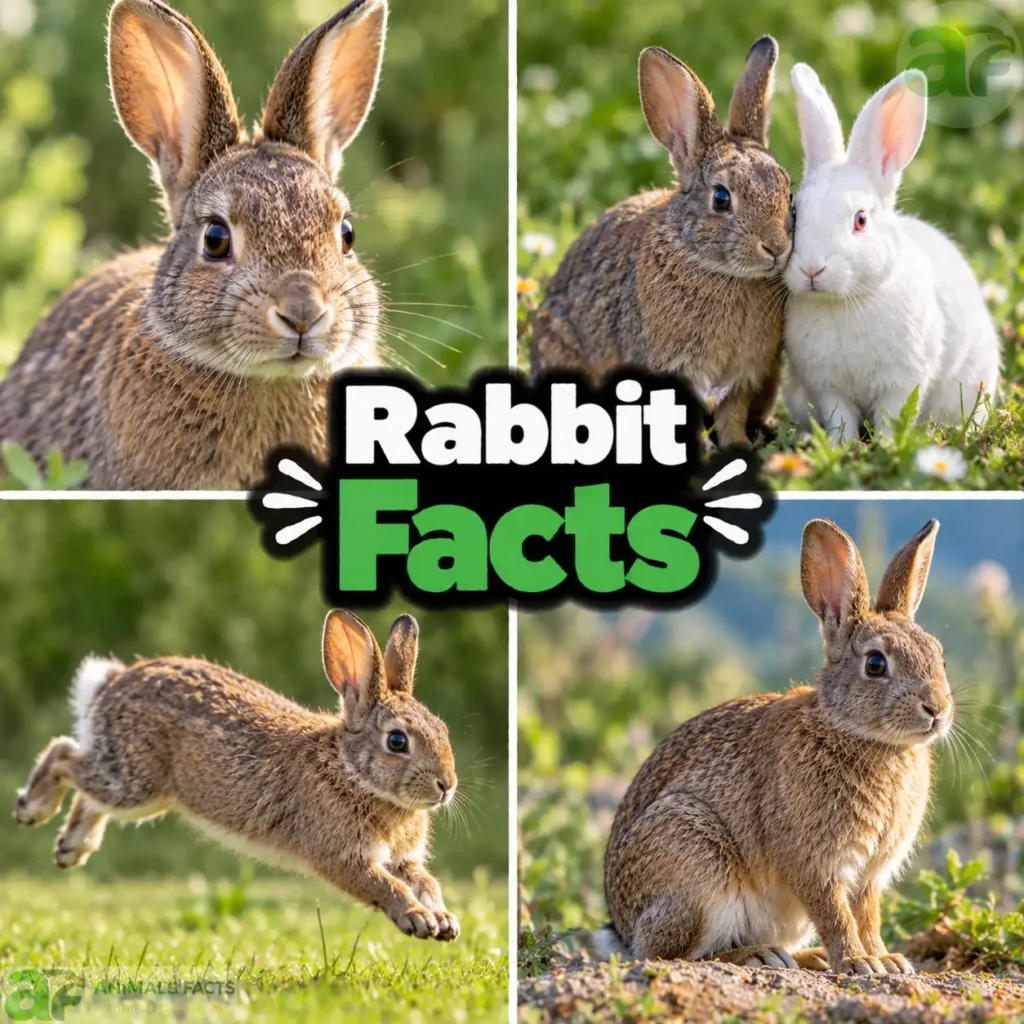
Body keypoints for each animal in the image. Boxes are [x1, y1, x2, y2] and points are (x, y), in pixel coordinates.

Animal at [13, 610, 461, 942]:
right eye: (397, 741)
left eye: (443, 729)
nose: (446, 786)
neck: (352, 771)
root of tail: (111, 684)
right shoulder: (341, 855)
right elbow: (387, 886)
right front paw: (418, 919)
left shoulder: (404, 859)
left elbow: (426, 882)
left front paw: (443, 920)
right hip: (134, 782)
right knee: (63, 756)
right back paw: (31, 808)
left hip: (140, 791)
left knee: (87, 788)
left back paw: (72, 848)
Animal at [530, 37, 795, 447]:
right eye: (721, 199)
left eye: (788, 190)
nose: (777, 247)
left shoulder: (745, 373)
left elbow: (733, 414)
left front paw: (738, 447)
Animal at [599, 517, 951, 976]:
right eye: (875, 664)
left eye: (939, 655)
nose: (937, 709)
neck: (853, 731)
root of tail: (622, 929)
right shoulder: (813, 862)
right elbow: (835, 913)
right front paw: (858, 962)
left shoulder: (870, 875)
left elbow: (867, 915)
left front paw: (885, 959)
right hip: (695, 866)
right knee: (670, 952)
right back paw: (757, 955)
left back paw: (806, 957)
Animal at [783, 64, 1001, 441]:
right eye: (795, 212)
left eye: (860, 220)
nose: (812, 269)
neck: (844, 302)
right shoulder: (827, 388)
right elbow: (841, 419)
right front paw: (843, 446)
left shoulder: (901, 383)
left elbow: (892, 416)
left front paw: (885, 445)